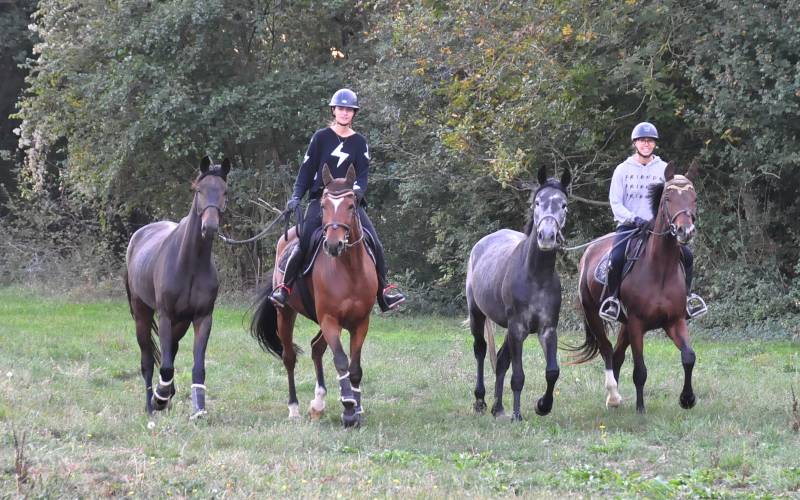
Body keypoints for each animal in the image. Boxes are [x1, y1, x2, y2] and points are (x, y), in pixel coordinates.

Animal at [125, 156, 230, 419]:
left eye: (224, 191)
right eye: (199, 190)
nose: (209, 227)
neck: (190, 262)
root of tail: (137, 237)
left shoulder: (202, 318)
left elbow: (197, 366)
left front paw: (198, 409)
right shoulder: (165, 316)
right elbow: (164, 365)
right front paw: (159, 399)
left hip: (180, 323)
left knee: (169, 350)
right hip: (142, 314)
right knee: (148, 360)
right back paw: (152, 404)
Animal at [250, 164, 377, 427]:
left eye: (351, 205)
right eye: (324, 206)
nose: (333, 245)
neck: (350, 271)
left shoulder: (360, 323)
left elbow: (355, 367)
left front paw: (357, 409)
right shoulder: (330, 319)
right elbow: (341, 361)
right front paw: (348, 409)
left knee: (316, 348)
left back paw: (318, 404)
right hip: (286, 314)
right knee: (289, 357)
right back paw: (294, 408)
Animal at [466, 165, 571, 421]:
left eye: (564, 205)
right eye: (537, 202)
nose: (546, 236)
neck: (535, 276)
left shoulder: (547, 329)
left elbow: (552, 371)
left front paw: (543, 406)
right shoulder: (518, 328)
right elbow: (518, 375)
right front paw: (517, 415)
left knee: (501, 360)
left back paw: (497, 408)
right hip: (477, 314)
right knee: (480, 350)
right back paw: (481, 401)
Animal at [573, 161, 699, 413]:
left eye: (694, 198)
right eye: (668, 197)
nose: (685, 231)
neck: (660, 269)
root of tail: (589, 251)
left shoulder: (674, 320)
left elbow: (688, 356)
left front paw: (687, 399)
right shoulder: (637, 324)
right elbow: (640, 370)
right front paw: (641, 408)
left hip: (624, 324)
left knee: (617, 354)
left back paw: (614, 399)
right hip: (594, 314)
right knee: (607, 350)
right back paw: (613, 396)